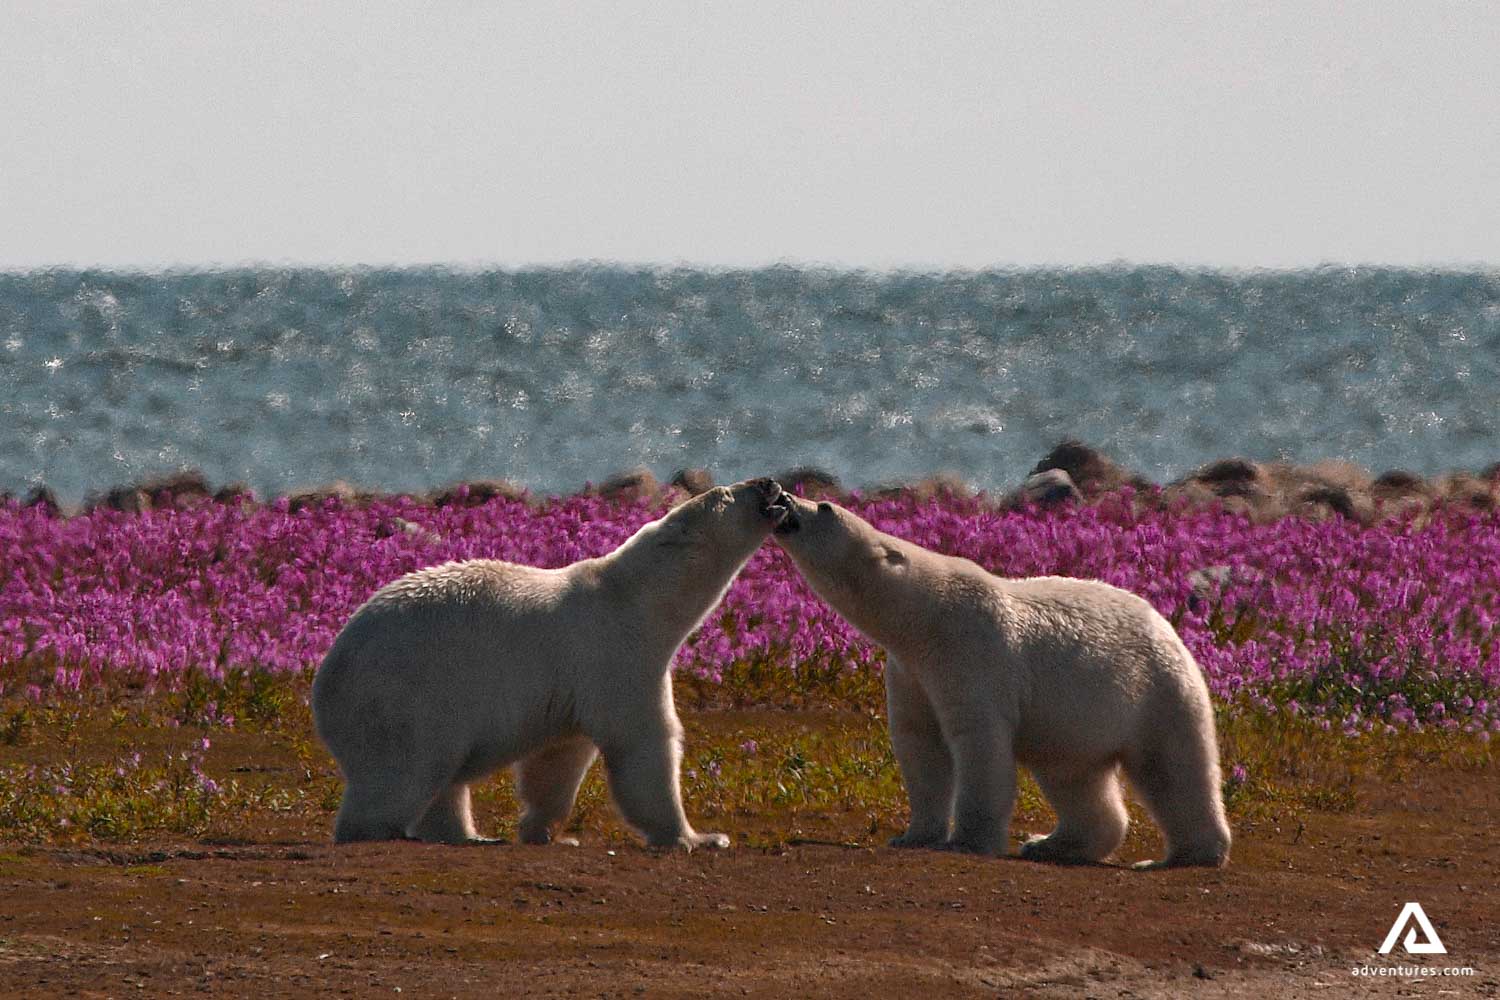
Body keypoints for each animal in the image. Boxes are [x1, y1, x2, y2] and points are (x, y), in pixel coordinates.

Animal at [312, 477, 790, 849]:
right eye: (727, 491)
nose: (771, 483)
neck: (633, 596)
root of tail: (325, 680)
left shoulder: (574, 684)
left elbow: (558, 758)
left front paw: (544, 829)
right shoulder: (616, 654)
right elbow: (644, 743)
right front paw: (697, 837)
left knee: (446, 782)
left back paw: (468, 834)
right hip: (406, 697)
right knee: (403, 774)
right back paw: (383, 829)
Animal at [767, 493, 1231, 868]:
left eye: (825, 506)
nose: (784, 498)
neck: (926, 617)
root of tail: (1170, 627)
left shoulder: (970, 655)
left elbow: (978, 743)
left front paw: (966, 840)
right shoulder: (910, 671)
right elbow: (920, 746)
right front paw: (912, 835)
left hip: (1157, 690)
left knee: (1174, 769)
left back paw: (1184, 854)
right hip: (1075, 721)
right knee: (1074, 777)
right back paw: (1051, 843)